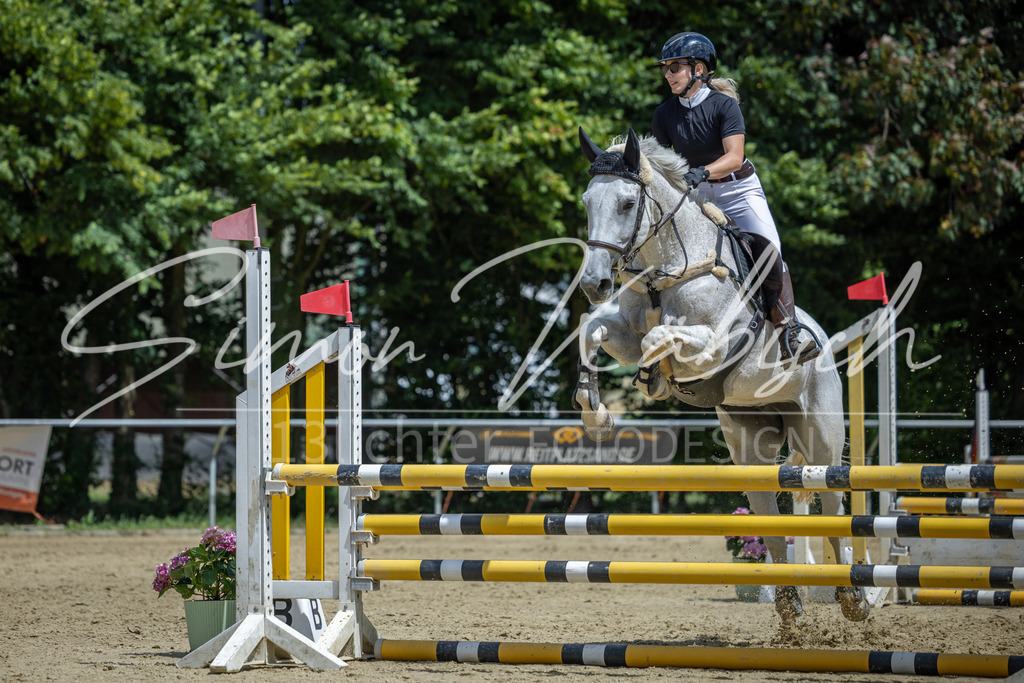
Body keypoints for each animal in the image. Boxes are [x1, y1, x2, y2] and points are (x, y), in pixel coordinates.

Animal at [573, 127, 869, 624]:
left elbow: (659, 339)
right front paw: (596, 414)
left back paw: (853, 598)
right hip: (751, 443)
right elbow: (591, 329)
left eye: (628, 204)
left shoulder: (711, 347)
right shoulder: (622, 333)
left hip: (821, 439)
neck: (665, 269)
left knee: (831, 502)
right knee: (769, 513)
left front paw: (655, 378)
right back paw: (789, 605)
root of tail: (827, 342)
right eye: (587, 201)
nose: (594, 284)